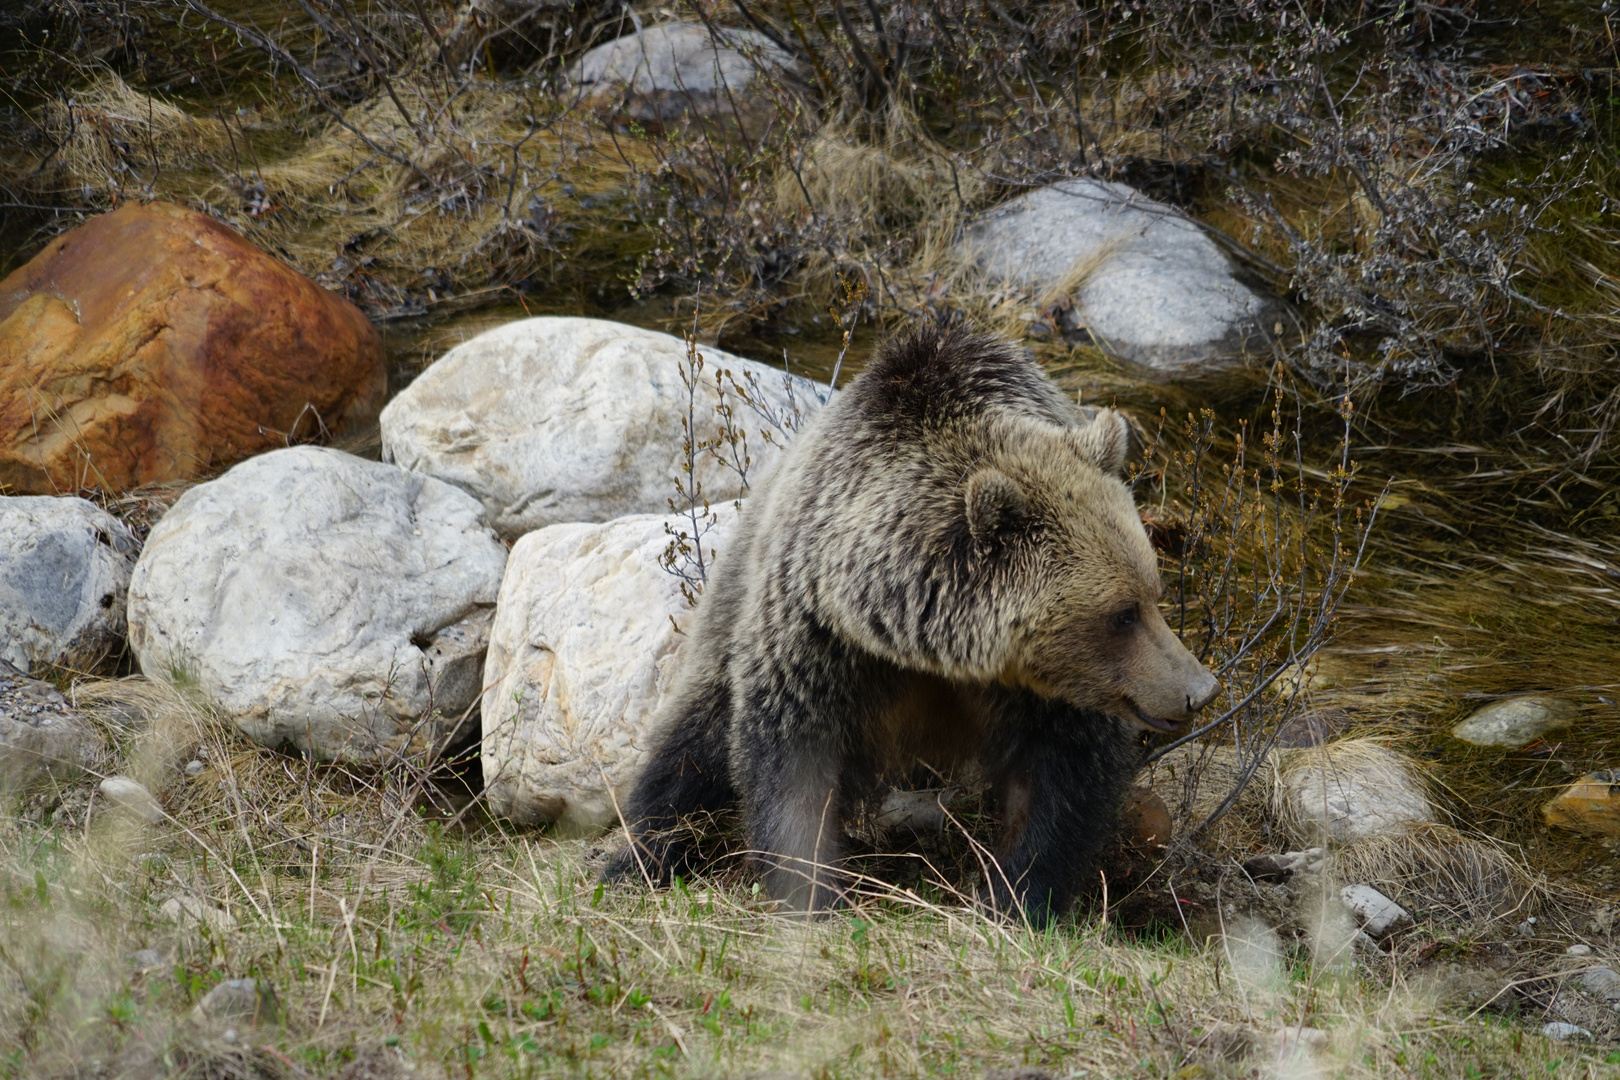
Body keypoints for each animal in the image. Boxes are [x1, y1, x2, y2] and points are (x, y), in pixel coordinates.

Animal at [609, 325, 1218, 926]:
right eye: (1123, 613)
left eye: (1154, 593)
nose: (1200, 689)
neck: (925, 646)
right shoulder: (821, 637)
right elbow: (792, 761)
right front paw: (809, 890)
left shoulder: (1045, 693)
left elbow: (1058, 779)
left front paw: (1014, 897)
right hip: (731, 602)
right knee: (691, 745)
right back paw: (638, 857)